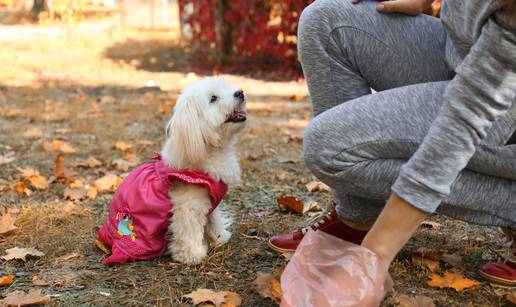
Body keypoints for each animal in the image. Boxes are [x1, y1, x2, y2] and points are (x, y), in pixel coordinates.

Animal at [163, 77, 248, 264]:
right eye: (213, 98)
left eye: (226, 87)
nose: (240, 92)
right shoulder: (188, 205)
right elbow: (188, 231)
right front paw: (191, 254)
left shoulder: (211, 199)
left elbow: (213, 218)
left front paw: (219, 237)